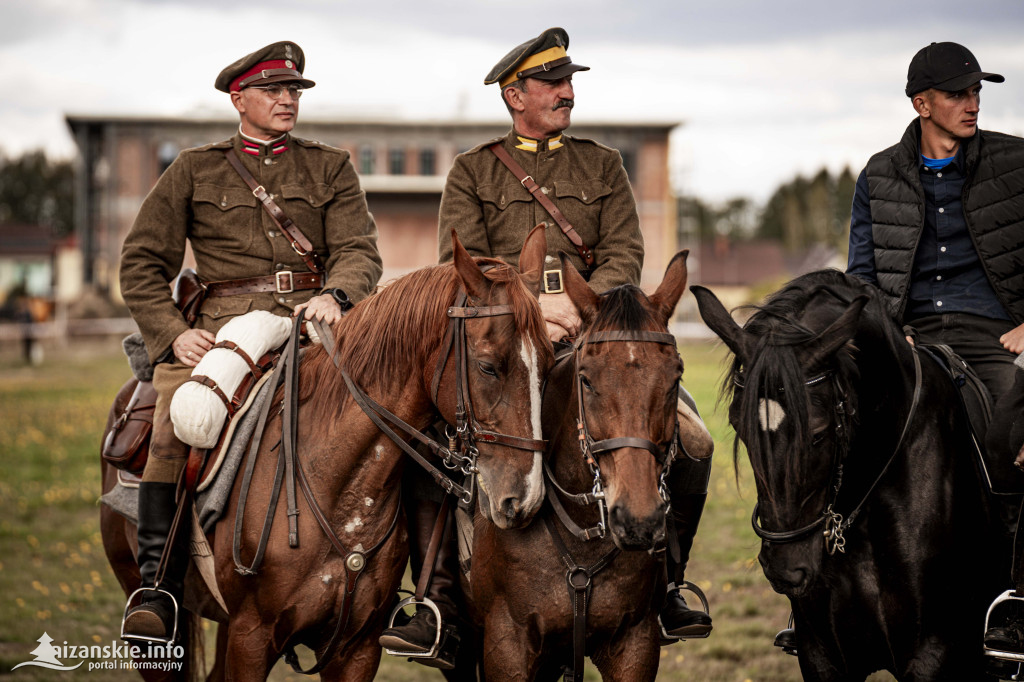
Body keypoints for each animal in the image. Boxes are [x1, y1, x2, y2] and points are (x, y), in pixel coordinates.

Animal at [99, 229, 557, 679]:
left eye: (549, 361)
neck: (335, 484)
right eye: (488, 366)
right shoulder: (251, 638)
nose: (525, 497)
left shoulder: (356, 650)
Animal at [462, 250, 696, 679]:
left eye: (676, 378)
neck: (582, 533)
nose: (638, 520)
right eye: (586, 379)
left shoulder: (635, 643)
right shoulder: (506, 647)